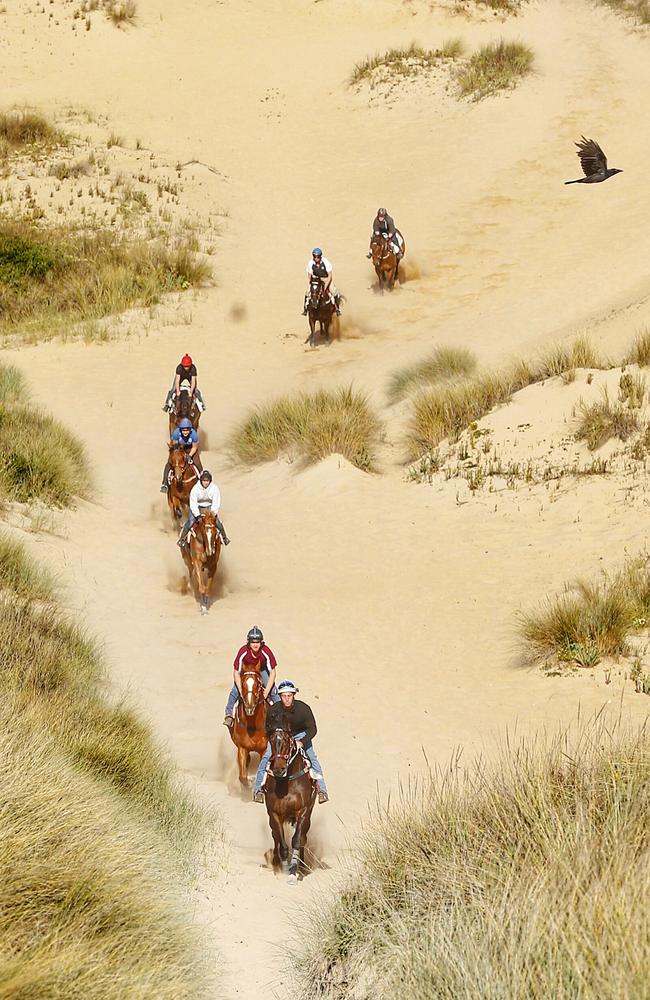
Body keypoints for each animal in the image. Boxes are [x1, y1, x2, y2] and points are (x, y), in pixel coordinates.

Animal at [262, 724, 316, 880]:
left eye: (287, 741)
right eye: (271, 741)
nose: (279, 769)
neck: (287, 782)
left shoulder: (303, 811)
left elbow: (297, 840)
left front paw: (294, 872)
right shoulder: (274, 813)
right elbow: (282, 844)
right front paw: (284, 869)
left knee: (303, 837)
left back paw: (302, 866)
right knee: (275, 836)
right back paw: (276, 862)